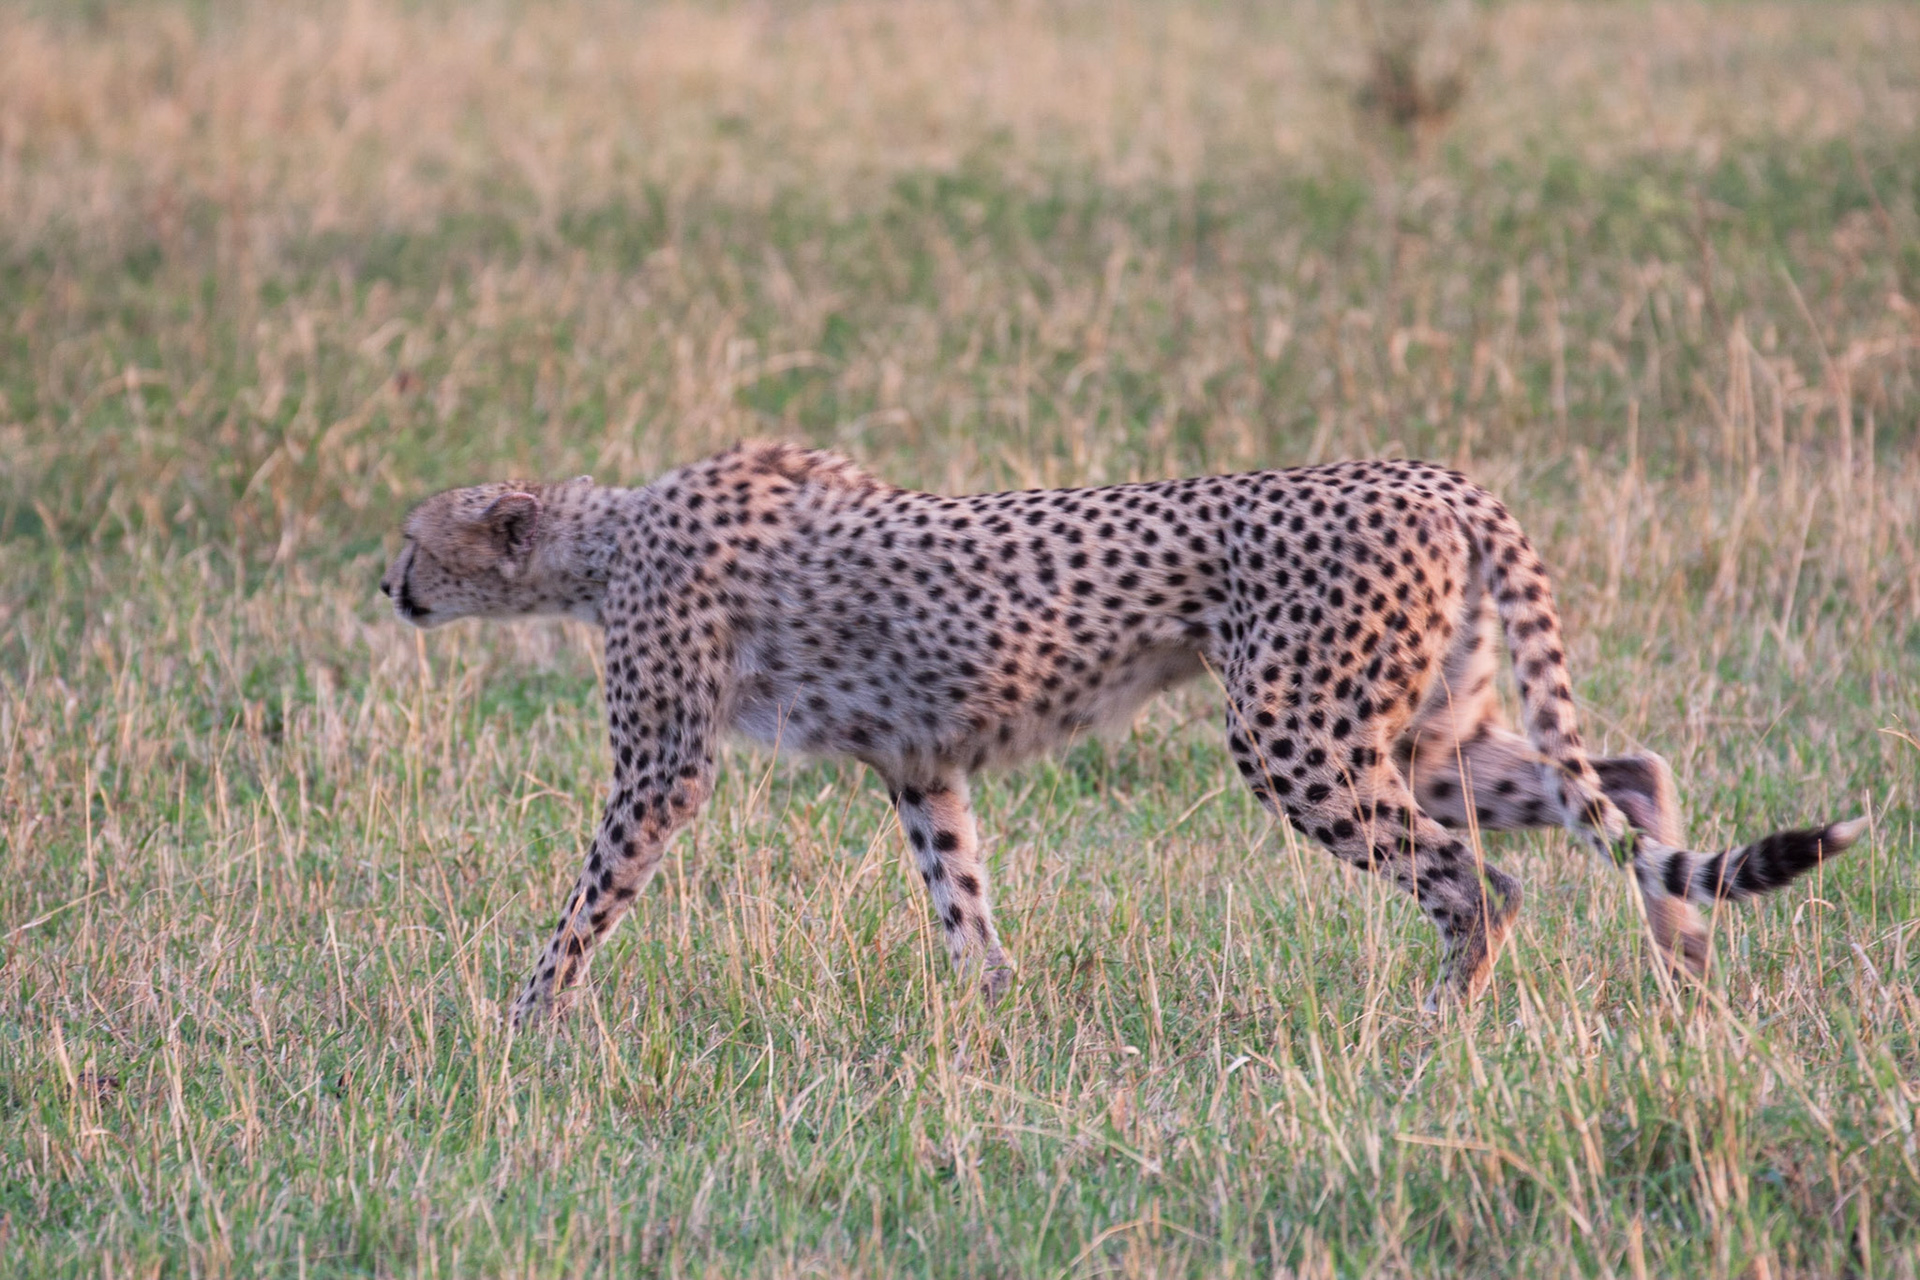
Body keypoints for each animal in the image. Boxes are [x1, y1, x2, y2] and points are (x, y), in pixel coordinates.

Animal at [379, 442, 1863, 1022]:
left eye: (411, 536)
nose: (383, 585)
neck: (601, 534)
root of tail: (1432, 477)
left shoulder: (664, 768)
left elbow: (592, 893)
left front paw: (524, 1013)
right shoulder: (921, 763)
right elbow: (958, 890)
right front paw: (996, 1012)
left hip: (1299, 734)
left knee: (1478, 880)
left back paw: (1435, 1032)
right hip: (1424, 727)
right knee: (1628, 775)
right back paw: (1685, 978)